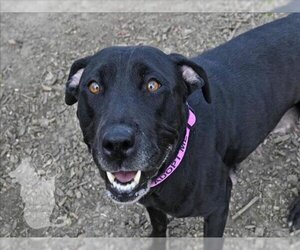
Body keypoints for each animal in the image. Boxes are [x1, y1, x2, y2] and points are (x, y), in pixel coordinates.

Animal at [65, 14, 300, 237]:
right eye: (94, 87)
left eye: (153, 85)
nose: (117, 144)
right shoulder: (151, 203)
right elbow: (159, 226)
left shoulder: (217, 208)